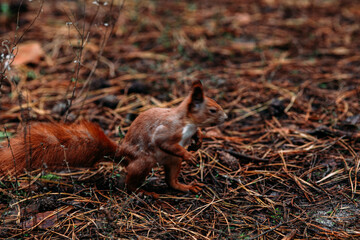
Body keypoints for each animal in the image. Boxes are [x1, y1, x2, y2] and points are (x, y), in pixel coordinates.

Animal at [0, 81, 226, 194]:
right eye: (213, 110)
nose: (225, 117)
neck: (187, 122)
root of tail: (124, 154)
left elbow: (196, 134)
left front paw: (198, 141)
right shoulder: (167, 130)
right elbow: (164, 142)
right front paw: (189, 155)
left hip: (171, 163)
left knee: (171, 182)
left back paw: (186, 187)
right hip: (145, 161)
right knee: (129, 184)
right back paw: (144, 193)